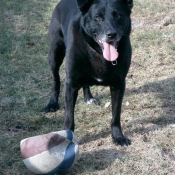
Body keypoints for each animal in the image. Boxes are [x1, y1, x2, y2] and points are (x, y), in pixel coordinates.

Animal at [45, 0, 133, 146]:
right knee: (55, 79)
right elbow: (69, 117)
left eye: (118, 15)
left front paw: (118, 137)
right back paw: (52, 103)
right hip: (55, 54)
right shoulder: (70, 84)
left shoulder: (119, 84)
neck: (99, 53)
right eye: (97, 17)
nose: (111, 34)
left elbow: (116, 114)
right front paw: (68, 140)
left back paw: (88, 97)